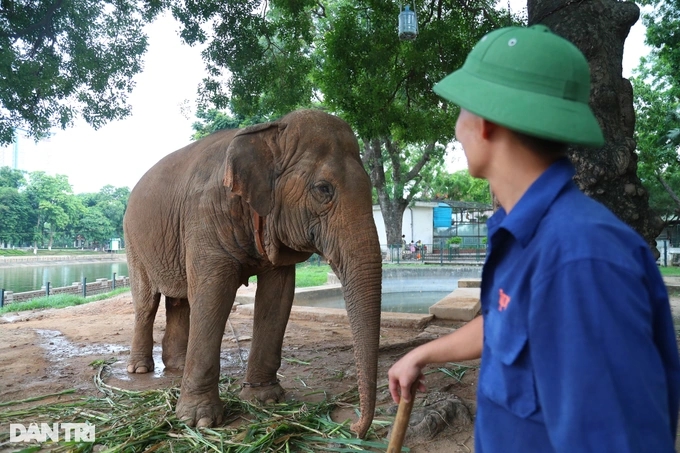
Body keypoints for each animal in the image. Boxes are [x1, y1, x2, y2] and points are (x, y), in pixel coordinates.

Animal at [122, 107, 382, 436]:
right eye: (323, 189)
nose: (355, 427)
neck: (268, 131)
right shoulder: (205, 215)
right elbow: (212, 294)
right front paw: (198, 421)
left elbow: (278, 295)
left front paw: (264, 399)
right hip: (133, 241)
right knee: (147, 302)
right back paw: (140, 368)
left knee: (180, 300)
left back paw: (178, 366)